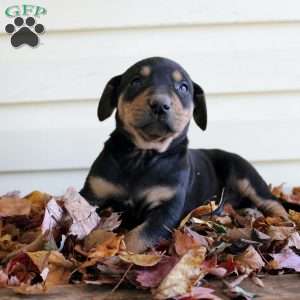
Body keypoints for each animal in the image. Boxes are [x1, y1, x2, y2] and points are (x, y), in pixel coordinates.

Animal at [80, 56, 288, 253]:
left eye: (183, 87)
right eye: (136, 81)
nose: (160, 104)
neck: (144, 155)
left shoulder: (167, 209)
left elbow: (138, 236)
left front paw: (118, 251)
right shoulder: (93, 193)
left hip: (246, 176)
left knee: (274, 203)